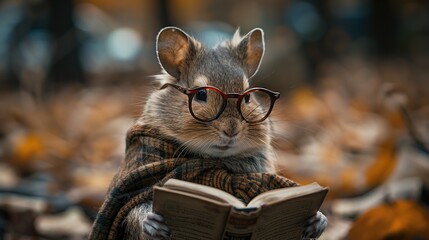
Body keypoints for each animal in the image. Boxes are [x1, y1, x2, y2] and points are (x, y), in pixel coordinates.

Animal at [125, 27, 326, 239]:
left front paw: (318, 220)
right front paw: (152, 223)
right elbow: (136, 212)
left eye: (248, 97)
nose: (231, 129)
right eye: (201, 94)